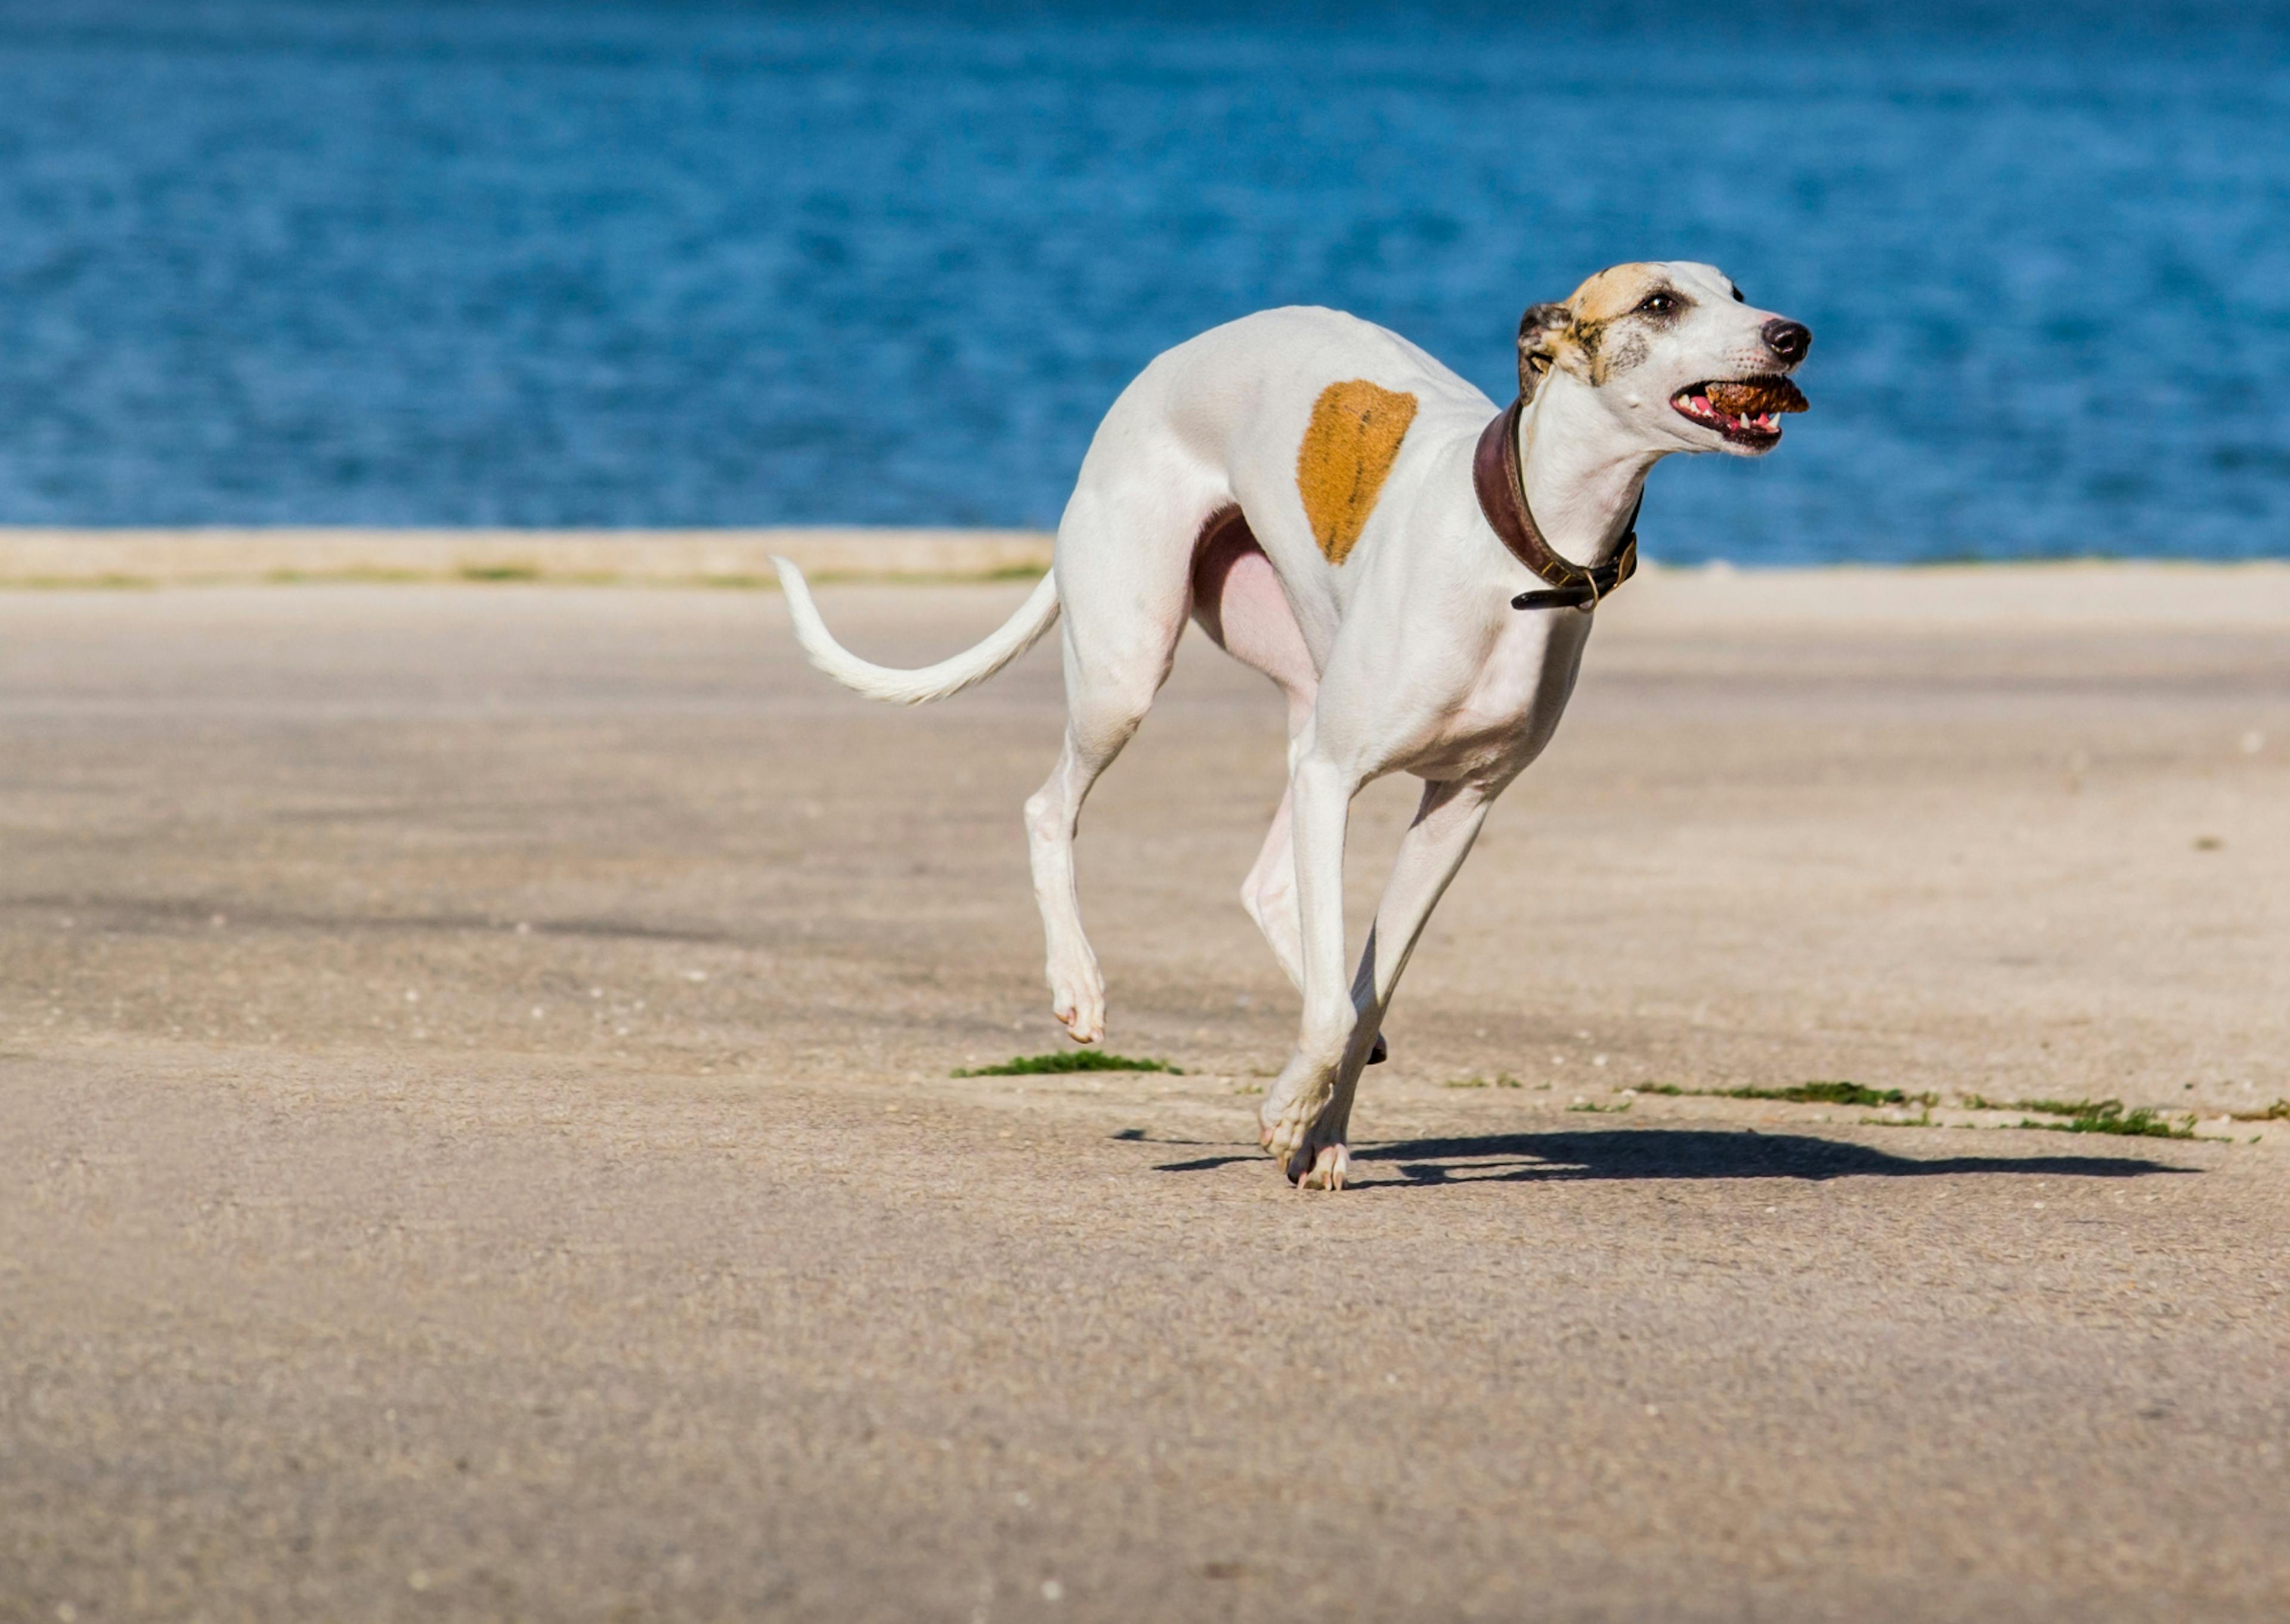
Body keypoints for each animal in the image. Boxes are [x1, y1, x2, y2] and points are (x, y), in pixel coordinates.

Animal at [778, 260, 1814, 1182]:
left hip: (1301, 691)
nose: (1793, 335)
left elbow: (1365, 993)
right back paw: (1077, 985)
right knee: (1050, 806)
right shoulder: (1336, 776)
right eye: (1661, 302)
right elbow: (1335, 1007)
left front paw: (1319, 1133)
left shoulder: (1458, 810)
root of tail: (1158, 371)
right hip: (1129, 668)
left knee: (1269, 888)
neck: (1512, 549)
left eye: (1738, 290)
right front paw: (1286, 1111)